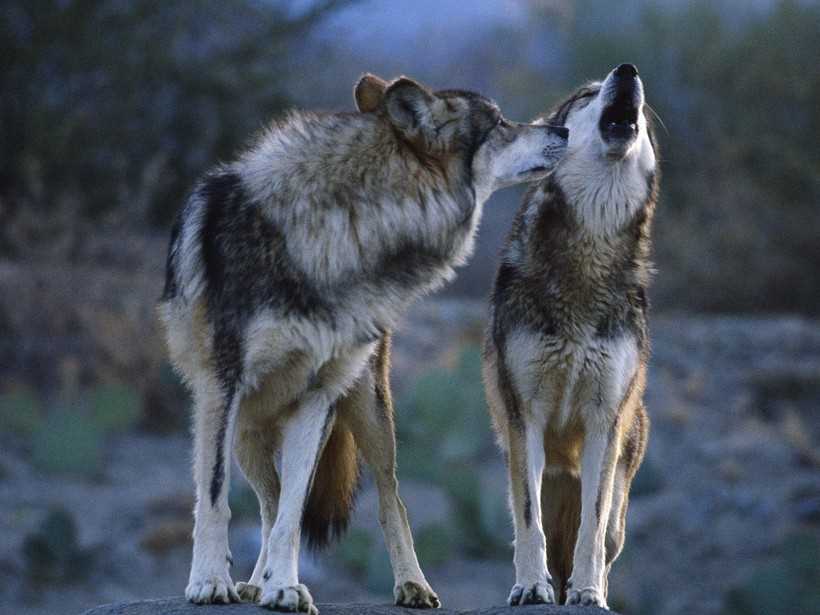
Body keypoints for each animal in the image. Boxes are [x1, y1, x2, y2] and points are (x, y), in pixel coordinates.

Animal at [160, 74, 572, 612]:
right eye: (500, 124)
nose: (564, 130)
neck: (346, 226)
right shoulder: (221, 388)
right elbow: (215, 498)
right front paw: (211, 581)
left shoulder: (315, 397)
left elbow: (293, 513)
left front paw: (285, 586)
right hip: (247, 429)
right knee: (266, 501)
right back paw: (251, 582)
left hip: (367, 411)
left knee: (386, 497)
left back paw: (410, 585)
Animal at [484, 65, 656, 608]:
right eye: (585, 95)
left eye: (645, 108)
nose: (628, 71)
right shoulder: (525, 416)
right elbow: (529, 520)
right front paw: (530, 586)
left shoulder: (605, 419)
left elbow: (592, 526)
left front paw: (587, 593)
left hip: (622, 487)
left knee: (607, 537)